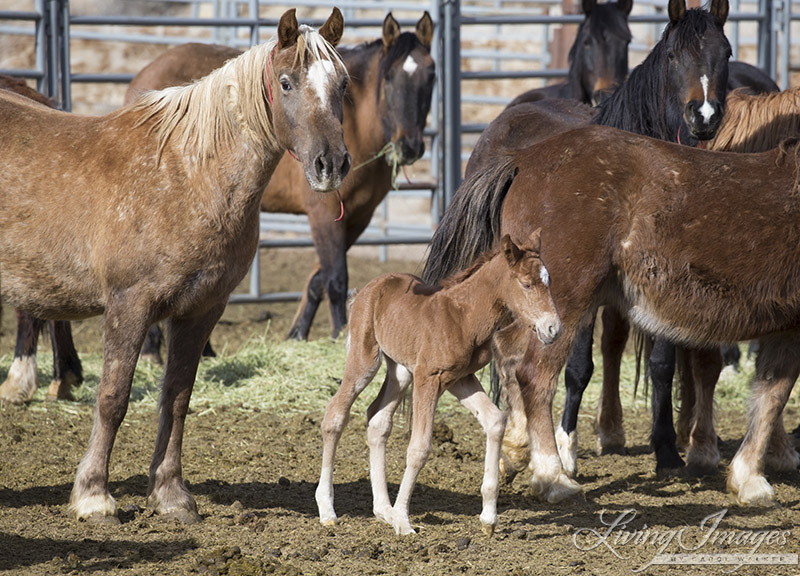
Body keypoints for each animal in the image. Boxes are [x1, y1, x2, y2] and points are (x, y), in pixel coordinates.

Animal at [0, 7, 350, 520]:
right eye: (286, 83)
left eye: (343, 84)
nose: (332, 164)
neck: (188, 174)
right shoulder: (130, 305)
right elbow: (113, 398)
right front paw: (93, 495)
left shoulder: (200, 311)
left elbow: (178, 397)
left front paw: (170, 494)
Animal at [125, 12, 434, 356]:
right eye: (389, 78)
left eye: (431, 75)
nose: (410, 147)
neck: (357, 125)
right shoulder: (324, 215)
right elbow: (336, 280)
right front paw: (340, 335)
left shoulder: (357, 218)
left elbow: (316, 280)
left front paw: (298, 334)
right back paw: (154, 348)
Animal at [316, 230, 560, 536]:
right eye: (527, 284)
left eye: (549, 282)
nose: (554, 329)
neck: (463, 316)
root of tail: (367, 289)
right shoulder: (429, 377)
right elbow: (419, 448)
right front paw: (403, 521)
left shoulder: (460, 378)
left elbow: (495, 421)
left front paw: (489, 519)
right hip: (366, 359)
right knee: (335, 413)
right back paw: (328, 509)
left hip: (401, 370)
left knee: (378, 420)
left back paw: (383, 510)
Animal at [424, 121, 800, 504]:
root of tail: (522, 159)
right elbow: (775, 395)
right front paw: (755, 479)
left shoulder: (786, 330)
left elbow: (769, 394)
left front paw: (748, 477)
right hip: (562, 307)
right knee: (534, 375)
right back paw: (552, 475)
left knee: (509, 355)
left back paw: (516, 452)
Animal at [462, 0, 732, 486]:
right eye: (673, 56)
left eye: (726, 52)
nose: (703, 116)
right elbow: (575, 366)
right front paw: (564, 452)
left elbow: (662, 364)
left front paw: (667, 451)